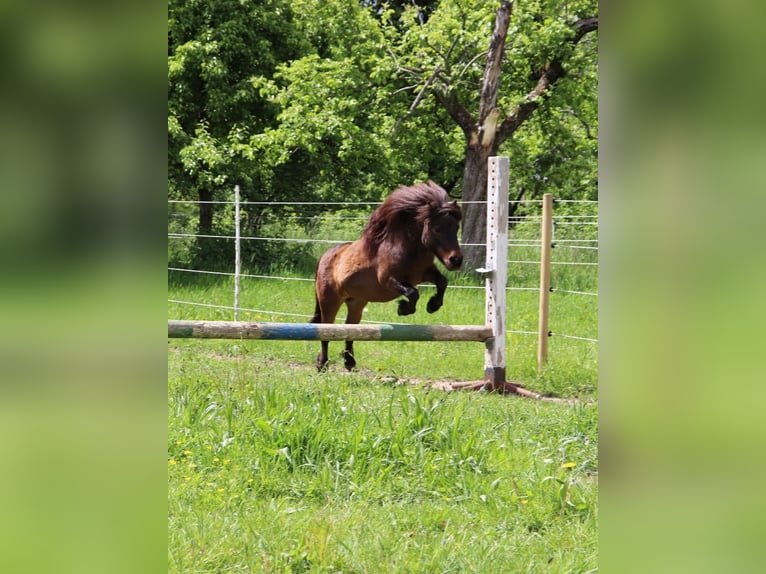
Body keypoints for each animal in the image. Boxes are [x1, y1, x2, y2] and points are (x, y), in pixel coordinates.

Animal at [310, 182, 462, 376]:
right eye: (437, 228)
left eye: (456, 228)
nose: (456, 260)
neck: (407, 248)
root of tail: (325, 256)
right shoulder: (388, 281)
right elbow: (412, 292)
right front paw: (404, 309)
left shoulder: (426, 273)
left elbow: (442, 282)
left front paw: (433, 305)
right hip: (329, 301)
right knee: (326, 330)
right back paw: (322, 364)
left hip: (356, 303)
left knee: (350, 329)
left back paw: (350, 363)